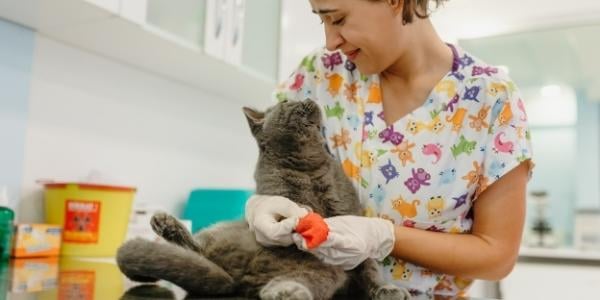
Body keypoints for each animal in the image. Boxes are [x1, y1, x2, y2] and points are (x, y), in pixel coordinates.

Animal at [115, 99, 410, 298]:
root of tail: (234, 277)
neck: (306, 165)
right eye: (287, 102)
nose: (309, 100)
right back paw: (165, 223)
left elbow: (370, 268)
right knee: (199, 250)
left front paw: (385, 289)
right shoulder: (275, 191)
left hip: (324, 268)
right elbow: (286, 204)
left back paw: (285, 291)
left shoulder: (348, 211)